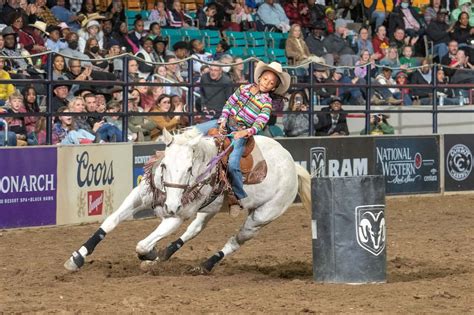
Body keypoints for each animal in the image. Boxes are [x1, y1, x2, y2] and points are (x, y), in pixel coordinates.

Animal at [65, 128, 312, 274]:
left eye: (190, 168)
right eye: (164, 165)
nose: (171, 205)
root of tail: (293, 165)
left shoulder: (177, 216)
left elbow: (142, 244)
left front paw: (149, 252)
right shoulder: (140, 196)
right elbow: (110, 222)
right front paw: (77, 257)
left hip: (262, 217)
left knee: (235, 240)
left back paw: (205, 265)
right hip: (209, 209)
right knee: (194, 229)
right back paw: (164, 255)